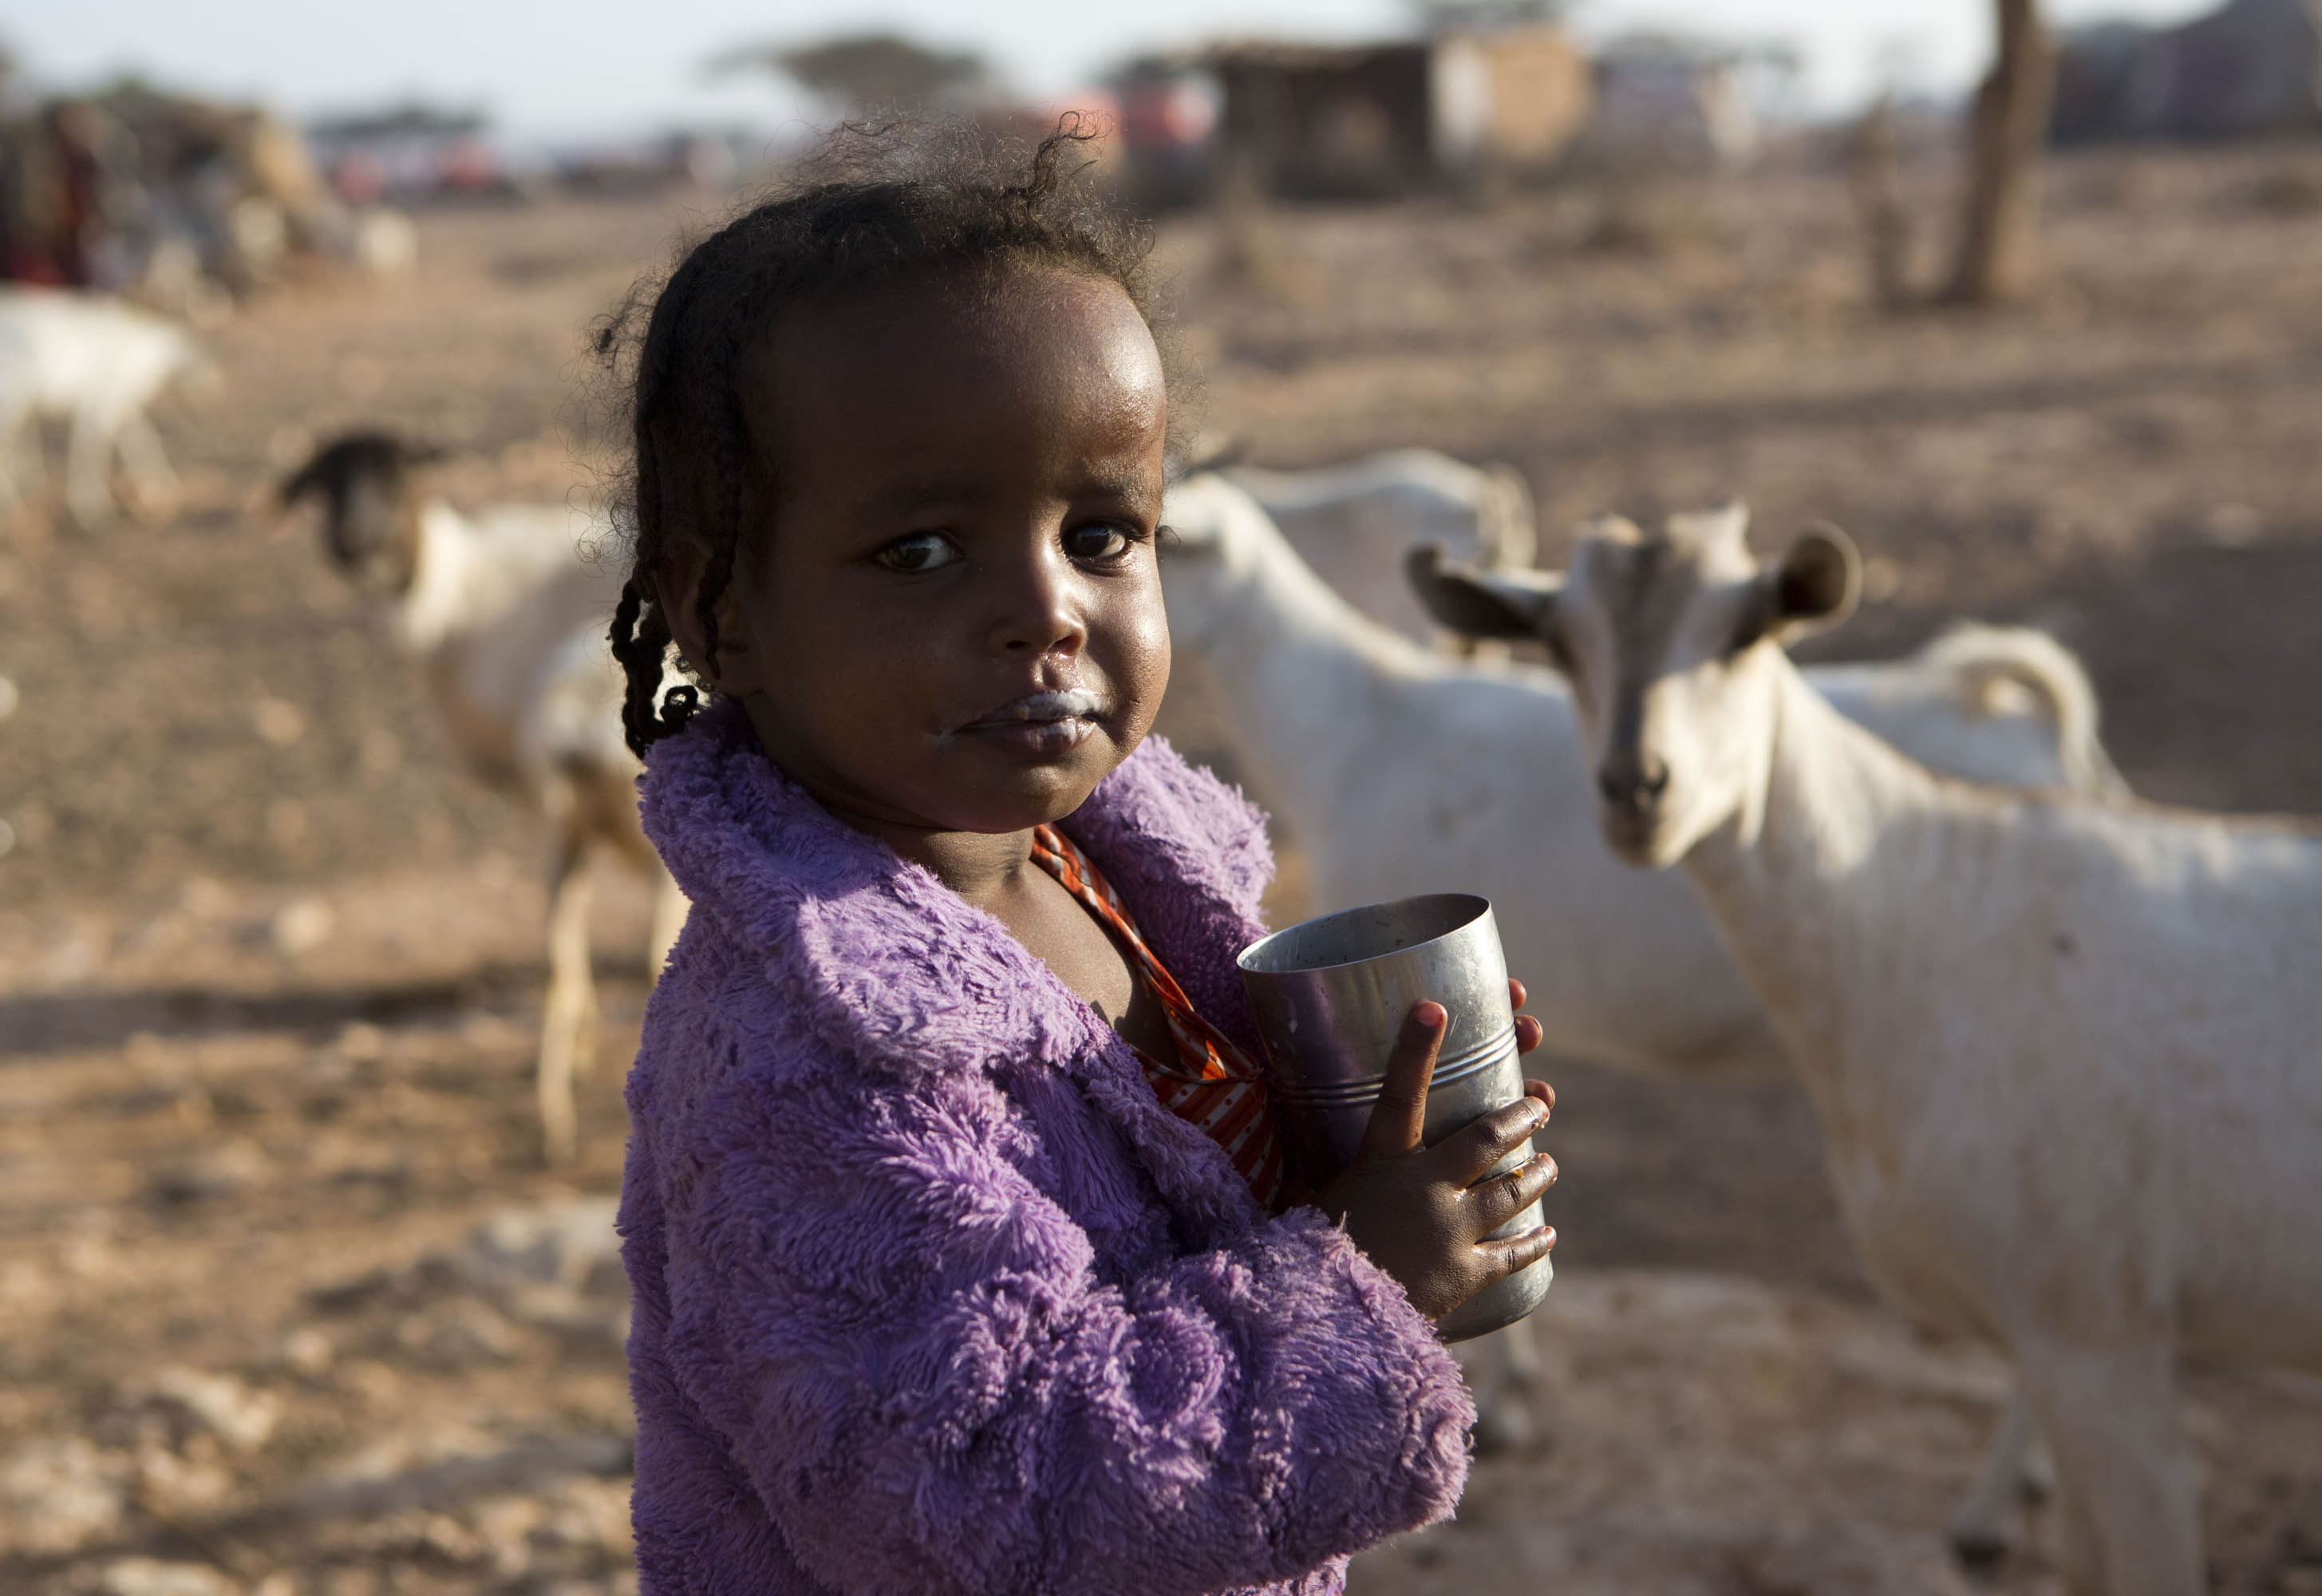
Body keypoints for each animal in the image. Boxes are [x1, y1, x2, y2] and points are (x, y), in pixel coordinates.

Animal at [0, 286, 215, 529]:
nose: (215, 387)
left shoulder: (120, 402)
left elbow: (141, 440)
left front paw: (159, 491)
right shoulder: (101, 405)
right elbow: (92, 451)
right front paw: (89, 506)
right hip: (13, 402)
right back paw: (15, 504)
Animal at [1412, 508, 2322, 1596]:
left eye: (1747, 630)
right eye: (1558, 642)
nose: (1637, 789)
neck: (1932, 911)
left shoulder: (2101, 1333)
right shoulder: (2066, 1345)